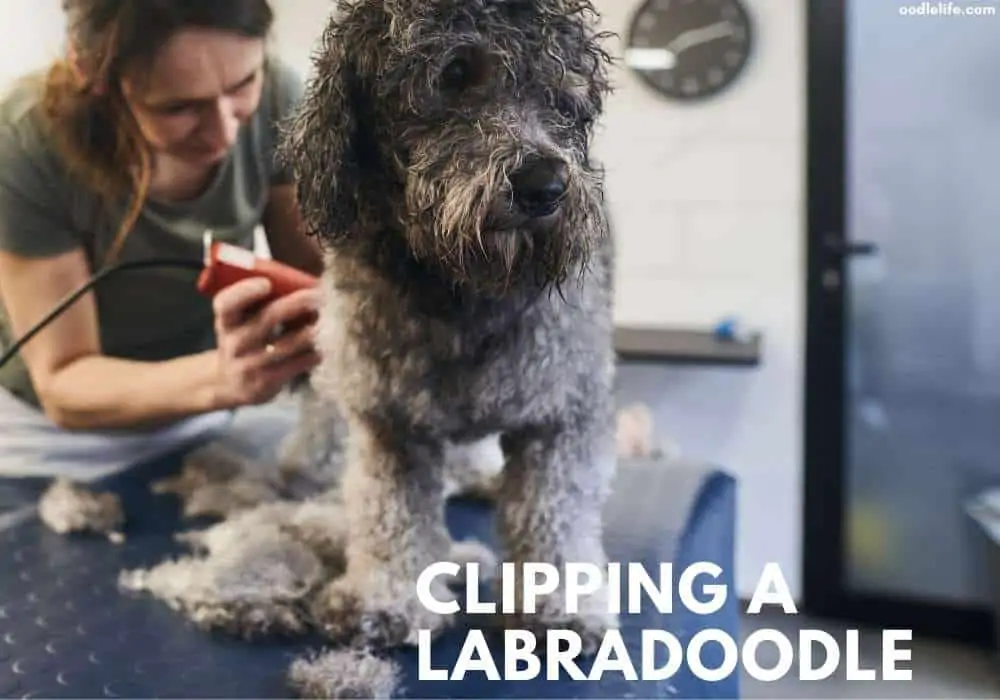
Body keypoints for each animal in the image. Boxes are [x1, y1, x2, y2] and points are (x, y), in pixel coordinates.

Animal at [280, 0, 616, 652]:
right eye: (455, 72)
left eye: (563, 96)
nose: (546, 185)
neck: (463, 288)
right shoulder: (390, 421)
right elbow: (391, 513)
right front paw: (388, 598)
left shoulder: (564, 408)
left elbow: (555, 512)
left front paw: (560, 607)